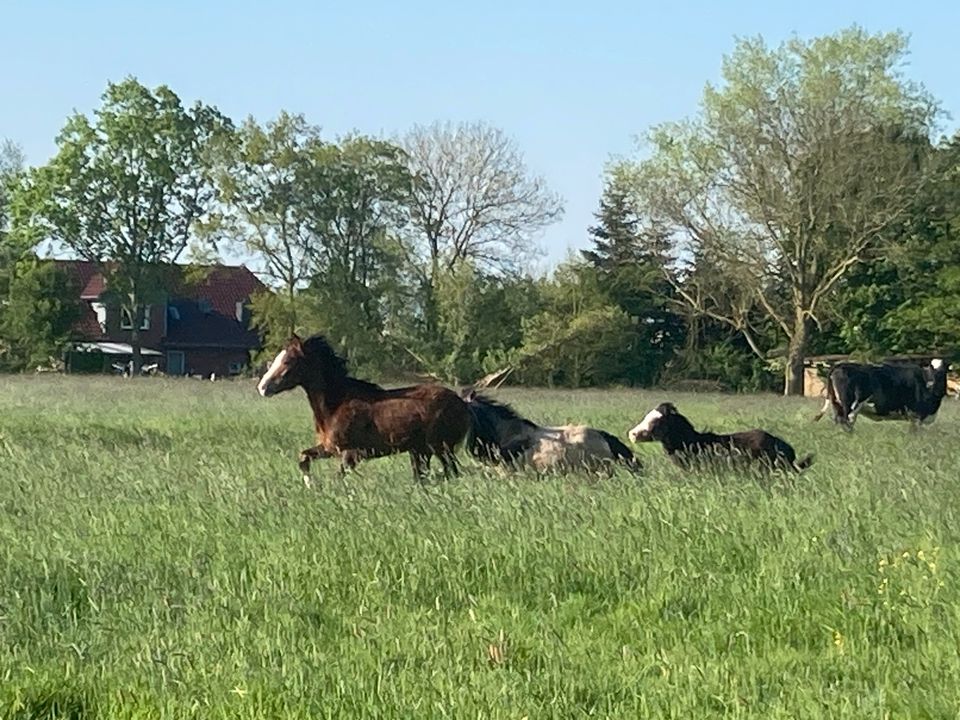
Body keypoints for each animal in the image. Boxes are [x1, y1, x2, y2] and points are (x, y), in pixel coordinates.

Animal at [256, 336, 470, 484]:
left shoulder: (350, 454)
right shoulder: (329, 448)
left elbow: (339, 476)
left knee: (451, 472)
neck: (336, 405)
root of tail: (462, 403)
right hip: (421, 451)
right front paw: (311, 485)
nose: (263, 387)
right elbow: (303, 458)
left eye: (287, 361)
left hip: (440, 448)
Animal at [808, 358, 952, 430]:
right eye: (931, 368)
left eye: (943, 370)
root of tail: (840, 365)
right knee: (845, 421)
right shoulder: (917, 415)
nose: (932, 382)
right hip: (849, 404)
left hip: (836, 403)